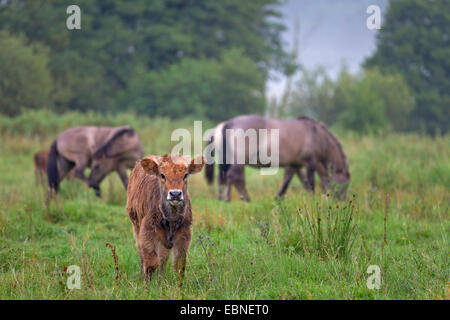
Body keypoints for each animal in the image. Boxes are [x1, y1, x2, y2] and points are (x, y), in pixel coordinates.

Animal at [125, 154, 205, 282]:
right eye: (162, 175)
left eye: (186, 174)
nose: (175, 194)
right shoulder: (147, 233)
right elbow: (151, 263)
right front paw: (147, 284)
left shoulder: (184, 235)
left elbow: (179, 264)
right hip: (136, 227)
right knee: (142, 254)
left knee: (163, 257)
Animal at [206, 114, 350, 201]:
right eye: (345, 184)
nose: (342, 200)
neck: (317, 135)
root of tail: (229, 123)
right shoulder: (310, 163)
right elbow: (310, 182)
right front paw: (312, 199)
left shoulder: (295, 165)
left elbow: (291, 181)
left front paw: (278, 198)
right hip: (239, 161)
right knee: (233, 177)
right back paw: (237, 199)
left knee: (225, 177)